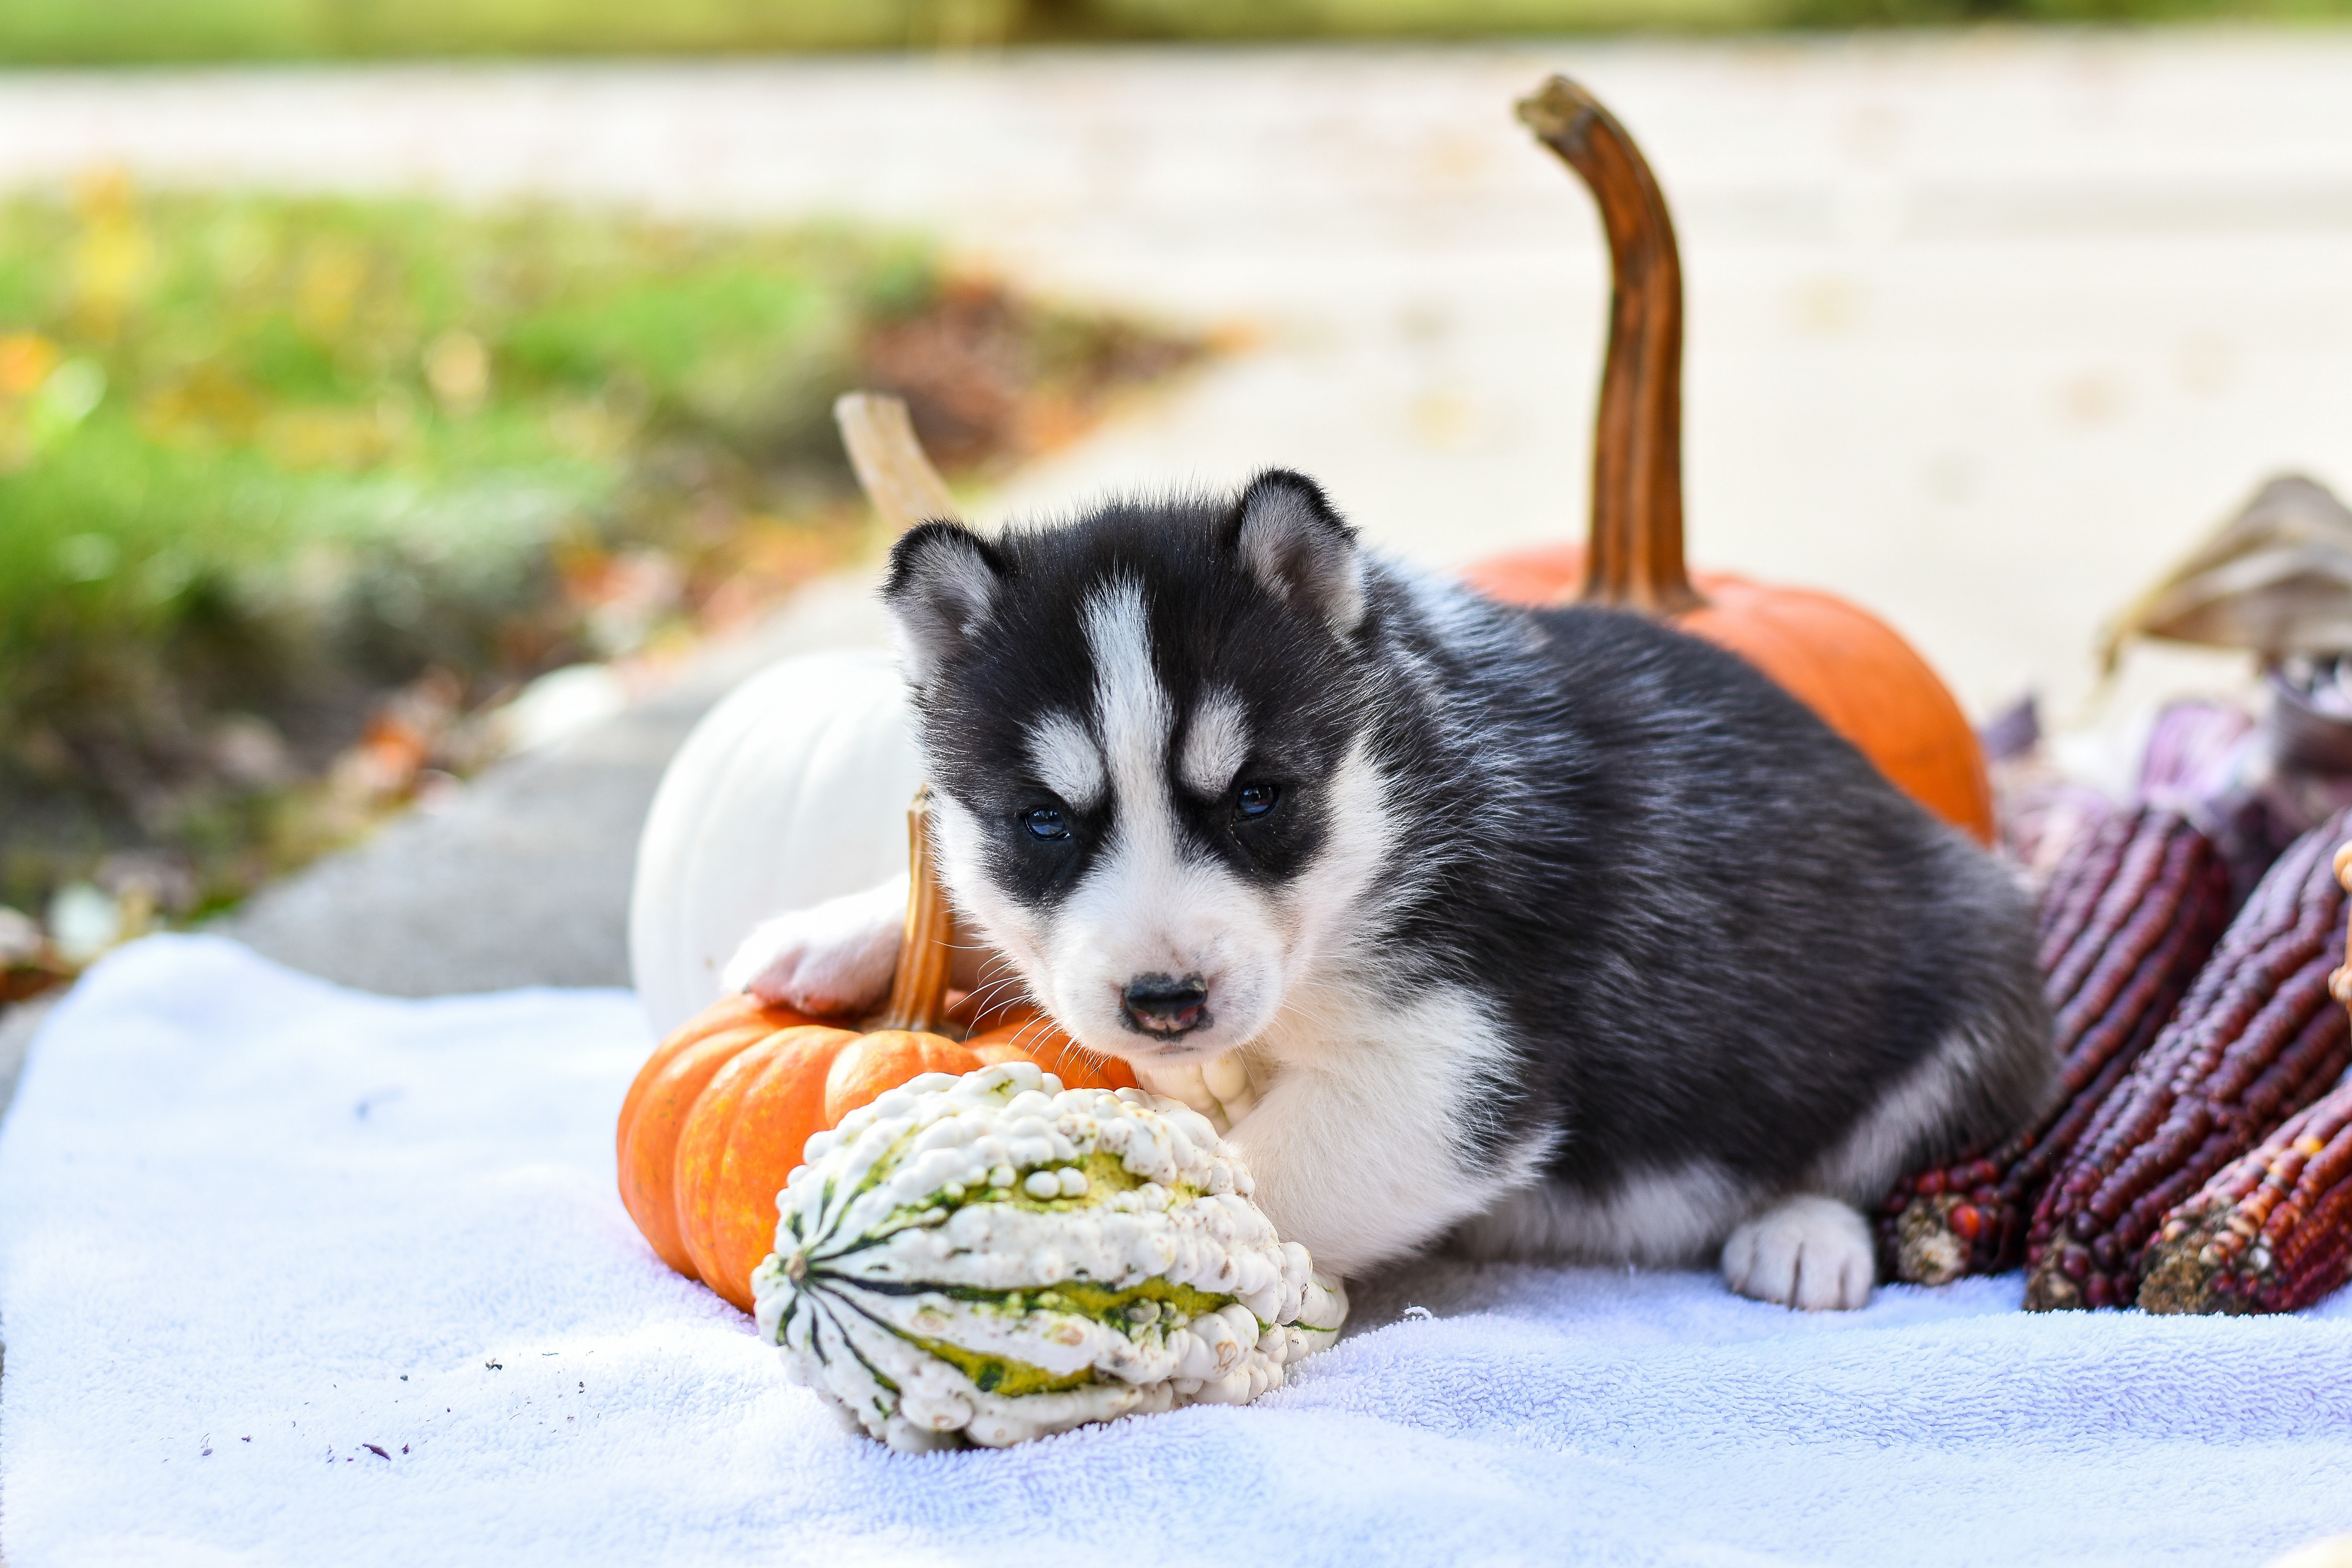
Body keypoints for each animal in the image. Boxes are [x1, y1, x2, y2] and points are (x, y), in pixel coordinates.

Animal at [724, 472, 2051, 1307]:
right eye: (1043, 822)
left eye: (1259, 799)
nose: (1165, 1001)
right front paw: (839, 931)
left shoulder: (1458, 1061)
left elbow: (1268, 1176)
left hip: (1964, 983)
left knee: (1864, 1148)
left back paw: (1802, 1231)